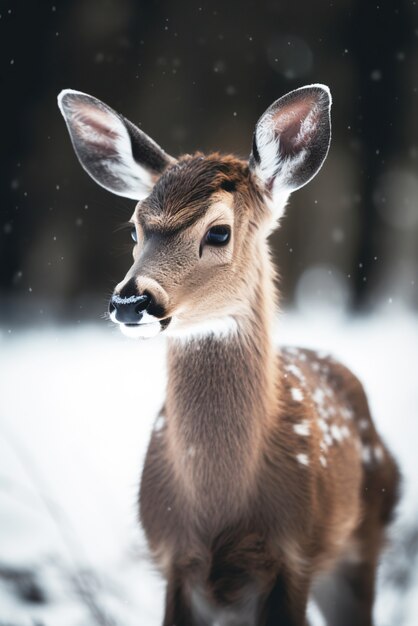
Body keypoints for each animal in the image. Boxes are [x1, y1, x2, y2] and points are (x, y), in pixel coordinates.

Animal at [58, 84, 398, 624]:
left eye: (218, 232)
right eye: (133, 229)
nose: (130, 301)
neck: (218, 510)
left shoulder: (293, 553)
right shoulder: (174, 559)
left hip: (365, 537)